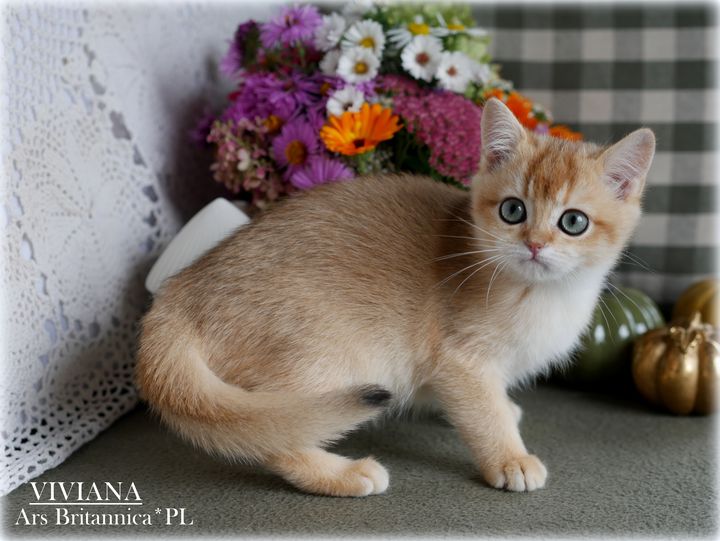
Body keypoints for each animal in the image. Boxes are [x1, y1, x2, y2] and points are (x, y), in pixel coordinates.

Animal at [136, 98, 655, 497]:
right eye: (513, 211)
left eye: (573, 222)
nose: (534, 244)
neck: (540, 294)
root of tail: (180, 292)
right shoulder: (460, 361)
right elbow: (483, 414)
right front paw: (510, 458)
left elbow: (487, 401)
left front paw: (505, 410)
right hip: (326, 355)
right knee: (277, 434)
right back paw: (343, 475)